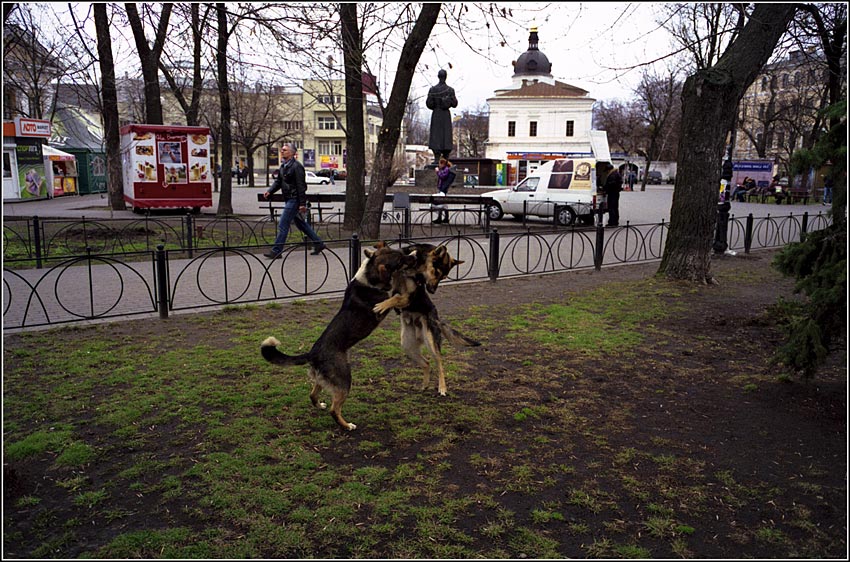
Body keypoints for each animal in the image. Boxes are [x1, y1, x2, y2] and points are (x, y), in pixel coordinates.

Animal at [260, 241, 416, 428]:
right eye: (400, 260)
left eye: (400, 252)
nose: (414, 256)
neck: (368, 279)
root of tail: (312, 353)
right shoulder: (383, 304)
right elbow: (397, 297)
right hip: (344, 380)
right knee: (334, 410)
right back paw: (346, 425)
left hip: (323, 380)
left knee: (313, 395)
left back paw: (320, 405)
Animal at [374, 243, 480, 396]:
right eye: (437, 273)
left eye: (443, 277)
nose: (433, 291)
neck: (414, 268)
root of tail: (437, 320)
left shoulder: (407, 297)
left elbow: (395, 297)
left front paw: (381, 306)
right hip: (407, 346)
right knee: (426, 363)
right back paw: (424, 385)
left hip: (431, 342)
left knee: (439, 363)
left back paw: (442, 388)